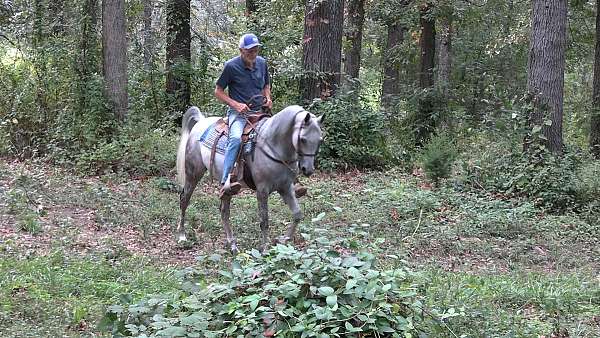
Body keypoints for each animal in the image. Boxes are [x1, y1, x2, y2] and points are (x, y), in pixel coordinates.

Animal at [175, 105, 324, 254]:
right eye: (303, 139)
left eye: (320, 140)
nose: (308, 169)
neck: (272, 146)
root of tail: (201, 121)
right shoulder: (262, 190)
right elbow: (264, 221)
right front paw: (264, 250)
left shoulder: (285, 188)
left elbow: (297, 214)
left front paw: (283, 240)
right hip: (193, 174)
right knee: (184, 200)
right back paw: (182, 235)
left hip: (226, 188)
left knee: (224, 211)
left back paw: (232, 245)